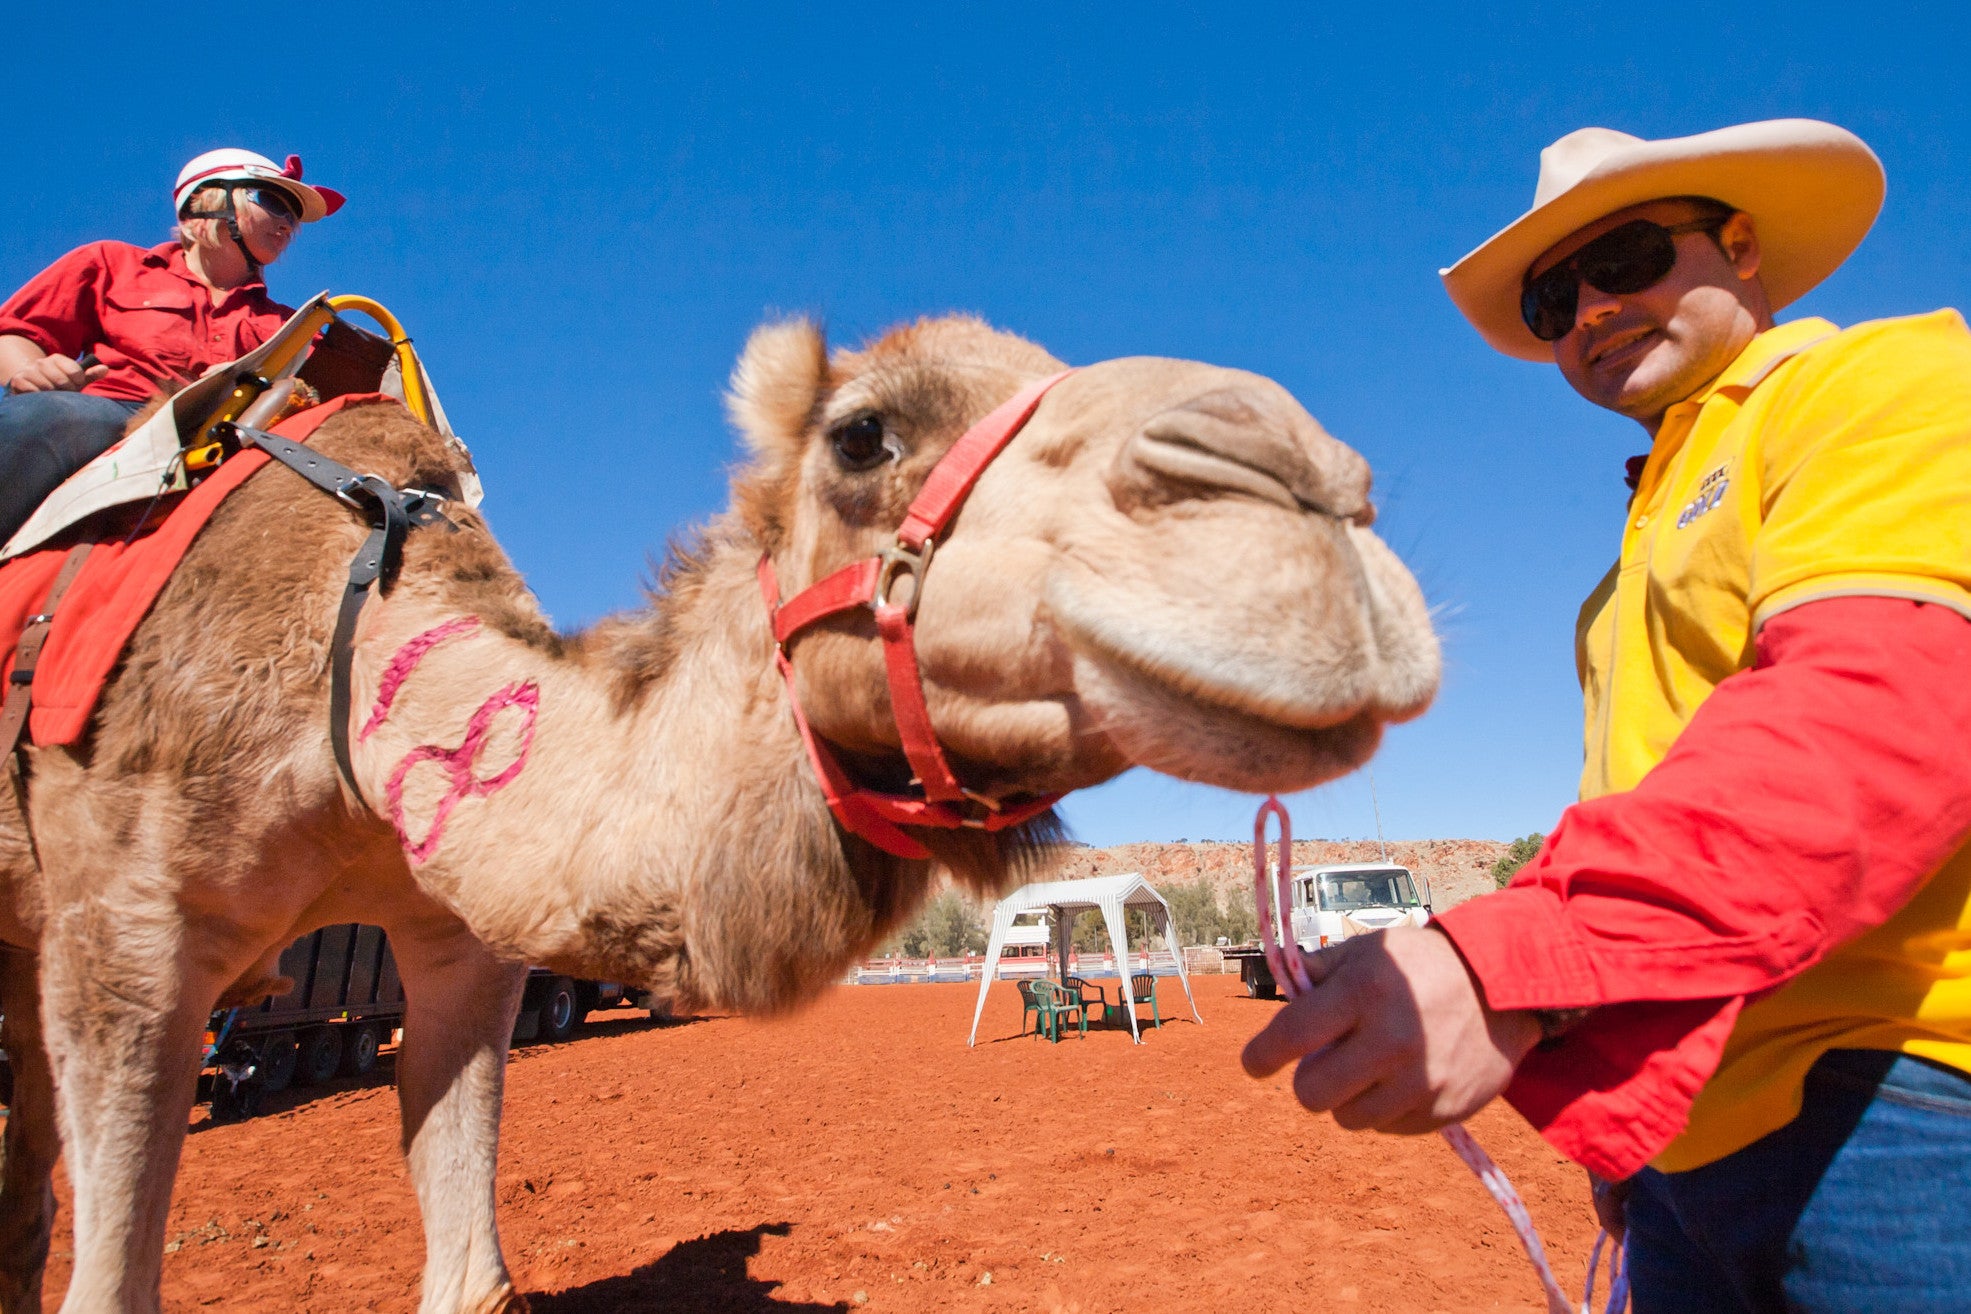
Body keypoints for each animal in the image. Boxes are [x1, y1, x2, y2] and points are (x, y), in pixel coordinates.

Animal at [0, 313, 1434, 1308]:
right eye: (861, 434)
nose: (1312, 499)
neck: (346, 662)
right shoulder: (127, 935)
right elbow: (111, 1280)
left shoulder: (461, 946)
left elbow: (474, 1275)